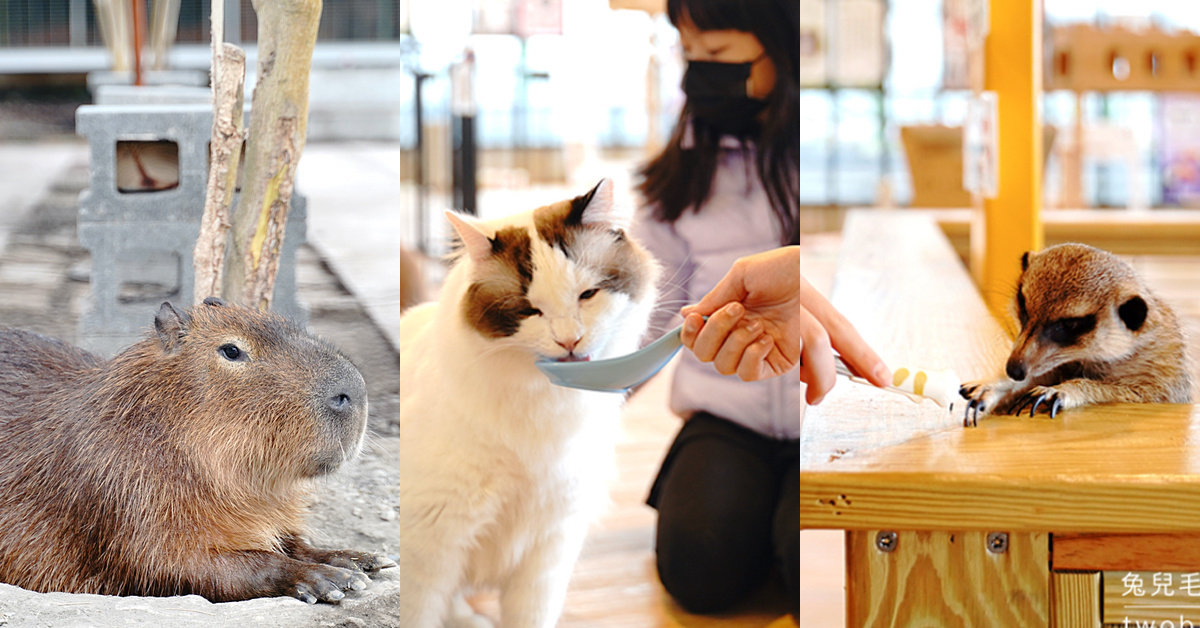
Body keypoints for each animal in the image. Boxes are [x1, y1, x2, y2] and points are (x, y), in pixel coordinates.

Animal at [396, 178, 662, 624]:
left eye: (587, 295)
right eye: (529, 310)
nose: (570, 340)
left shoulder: (548, 551)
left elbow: (531, 616)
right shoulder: (429, 549)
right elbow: (420, 613)